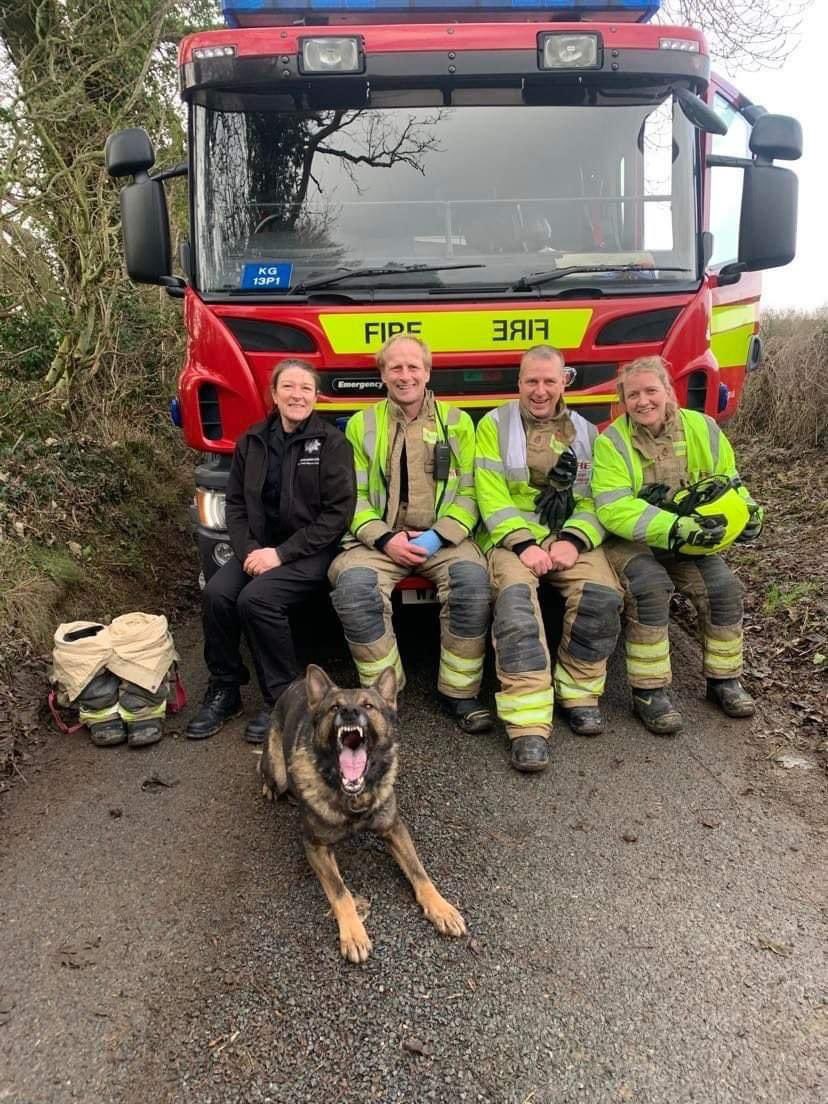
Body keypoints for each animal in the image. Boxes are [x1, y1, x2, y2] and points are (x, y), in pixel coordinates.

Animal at [259, 662, 468, 958]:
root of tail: (295, 684)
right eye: (334, 707)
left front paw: (441, 907)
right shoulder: (314, 846)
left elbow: (419, 872)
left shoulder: (394, 828)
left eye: (368, 705)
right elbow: (340, 891)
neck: (353, 797)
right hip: (278, 771)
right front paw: (354, 933)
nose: (349, 711)